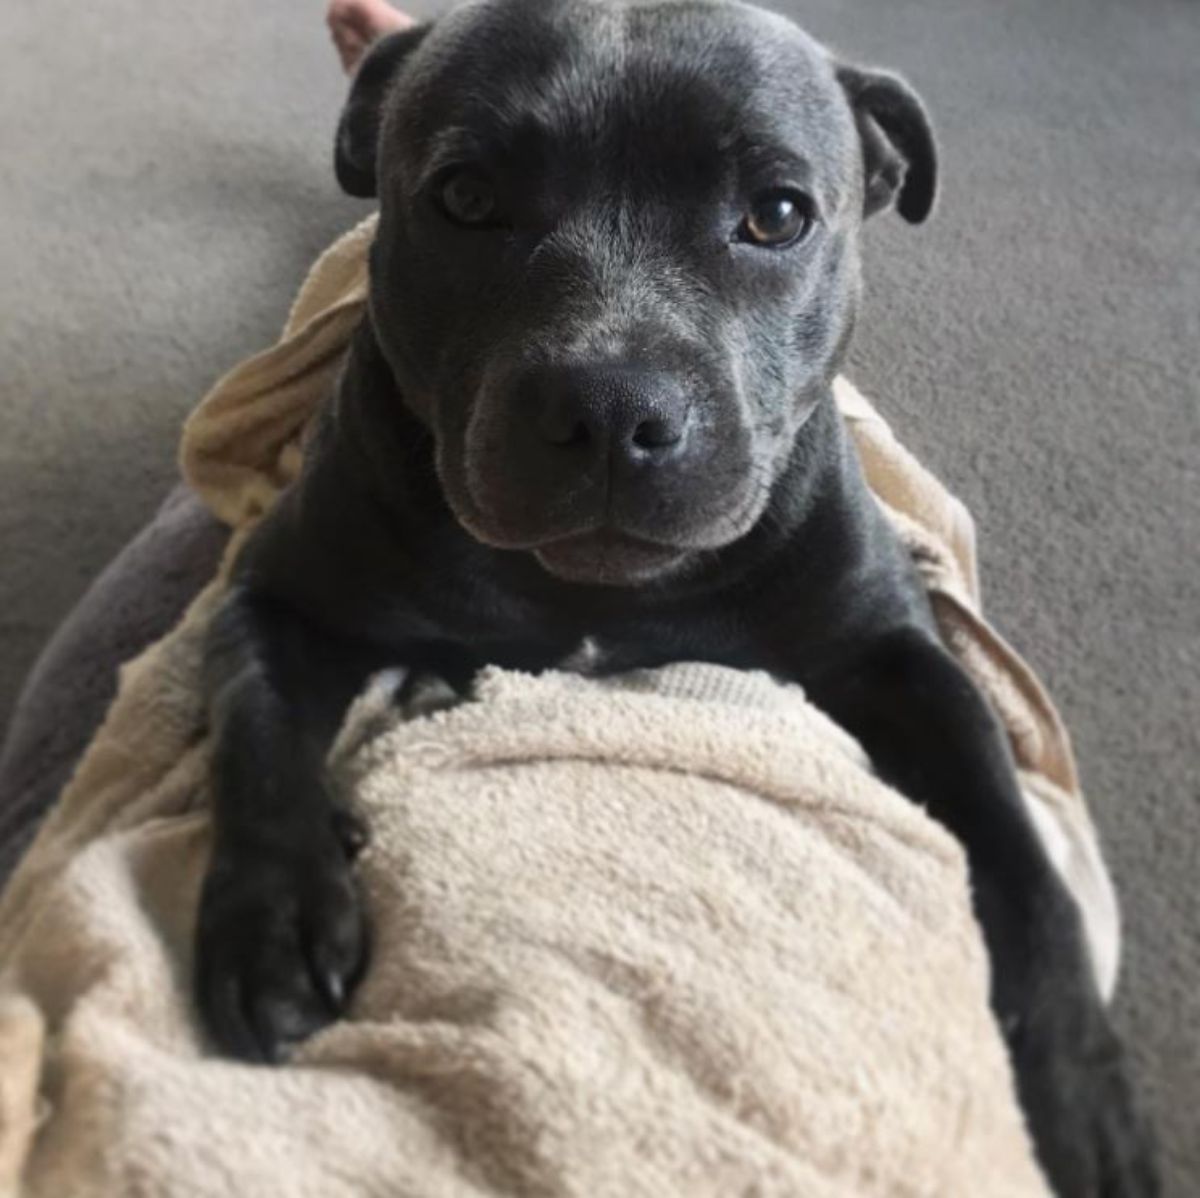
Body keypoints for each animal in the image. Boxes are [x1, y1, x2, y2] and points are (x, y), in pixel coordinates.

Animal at [192, 4, 1156, 1195]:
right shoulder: (274, 598)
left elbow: (1016, 850)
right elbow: (258, 735)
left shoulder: (901, 657)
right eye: (464, 197)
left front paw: (1081, 1079)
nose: (610, 406)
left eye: (777, 214)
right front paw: (277, 919)